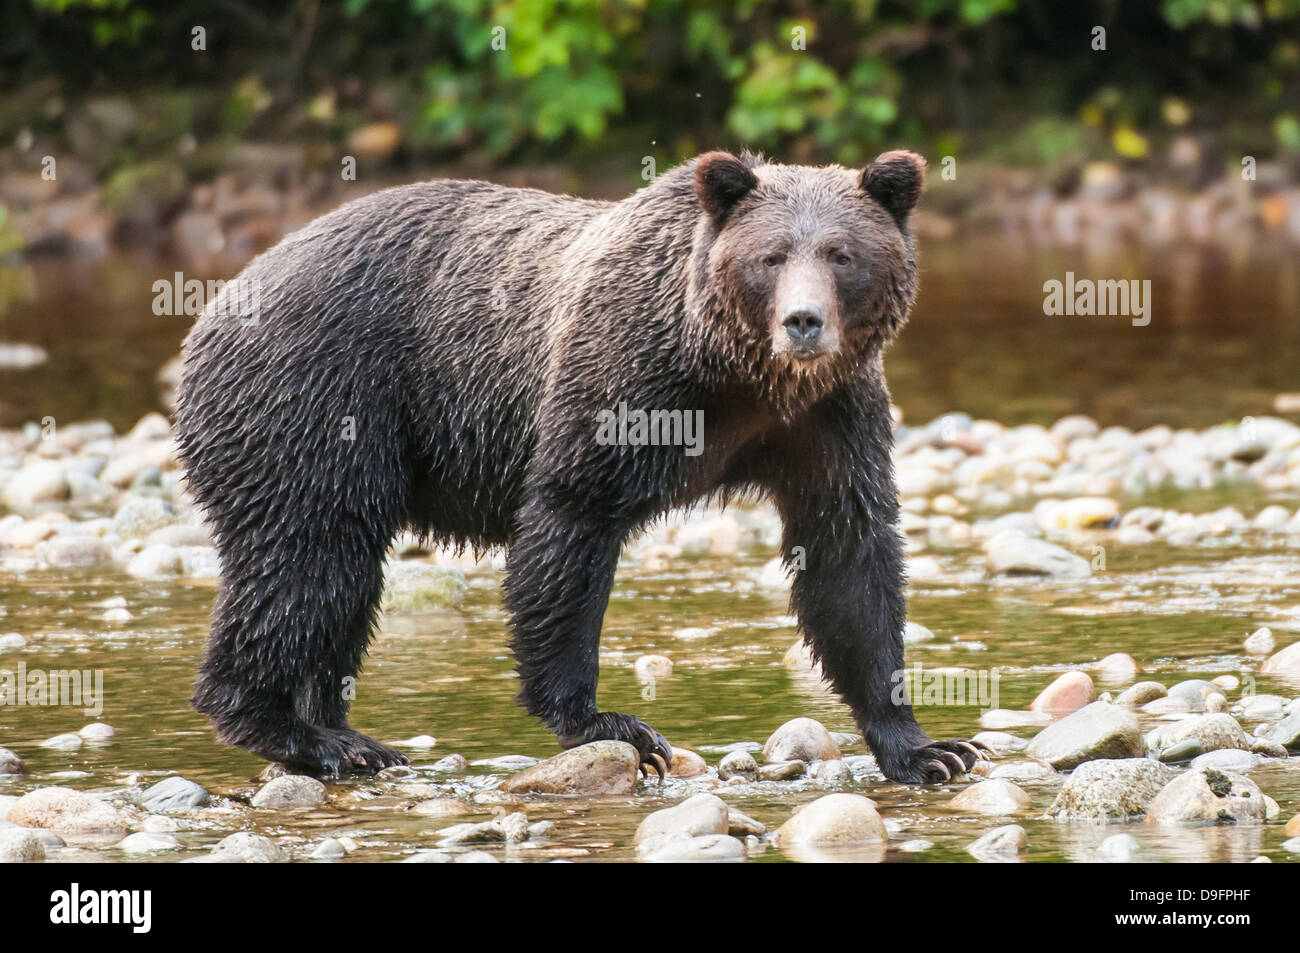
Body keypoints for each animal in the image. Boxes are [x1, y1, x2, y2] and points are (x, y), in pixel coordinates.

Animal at [175, 150, 982, 780]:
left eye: (842, 254)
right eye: (773, 255)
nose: (804, 322)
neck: (739, 376)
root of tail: (220, 301)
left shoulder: (829, 419)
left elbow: (848, 557)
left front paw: (929, 748)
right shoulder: (623, 379)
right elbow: (570, 522)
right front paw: (611, 723)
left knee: (343, 577)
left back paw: (346, 732)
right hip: (317, 402)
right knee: (308, 558)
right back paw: (294, 730)